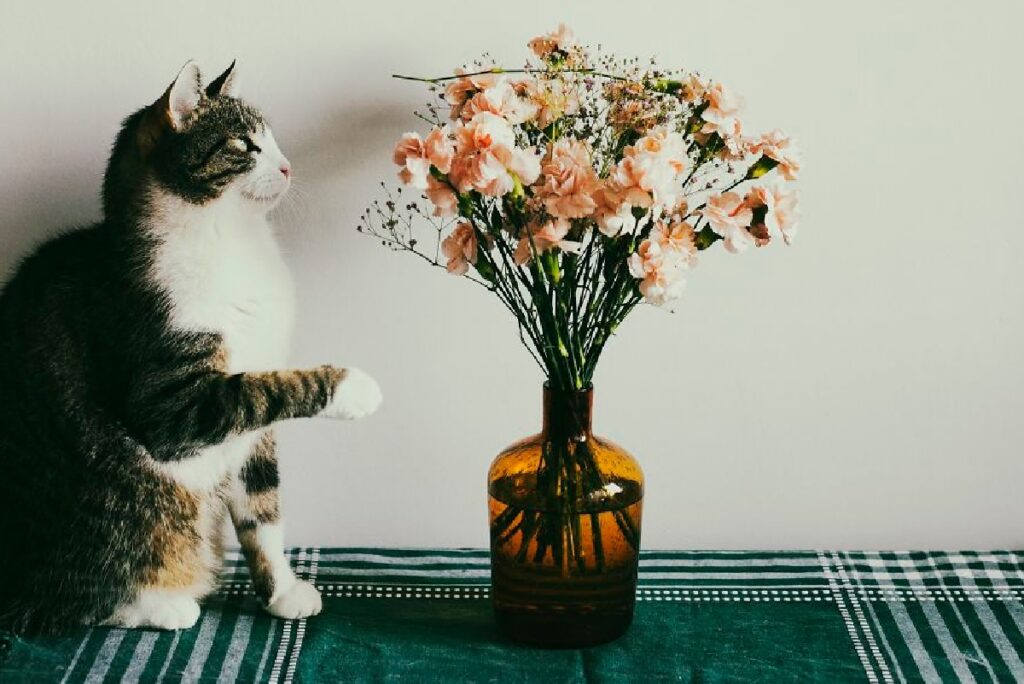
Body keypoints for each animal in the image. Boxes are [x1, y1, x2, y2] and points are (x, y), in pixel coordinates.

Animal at [0, 61, 382, 634]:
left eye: (273, 139)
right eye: (245, 144)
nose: (288, 166)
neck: (229, 241)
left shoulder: (254, 437)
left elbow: (263, 511)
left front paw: (281, 592)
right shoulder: (171, 400)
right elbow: (265, 388)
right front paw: (354, 388)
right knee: (73, 598)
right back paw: (162, 605)